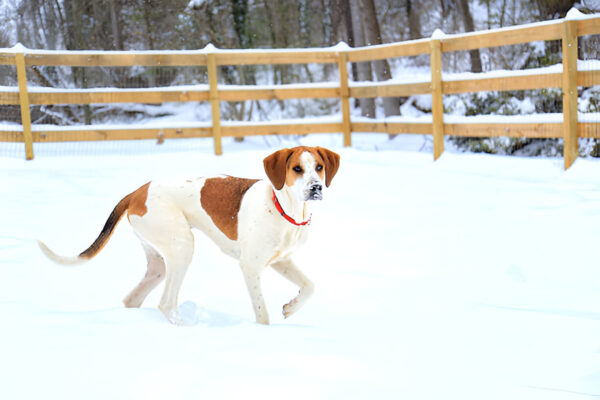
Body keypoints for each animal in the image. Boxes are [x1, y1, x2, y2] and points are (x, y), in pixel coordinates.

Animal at [37, 147, 340, 324]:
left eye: (319, 167)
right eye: (296, 169)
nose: (316, 188)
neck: (285, 208)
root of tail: (137, 191)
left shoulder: (281, 261)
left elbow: (310, 286)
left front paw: (291, 308)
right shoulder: (251, 266)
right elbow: (262, 314)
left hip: (159, 262)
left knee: (133, 299)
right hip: (182, 247)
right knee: (166, 303)